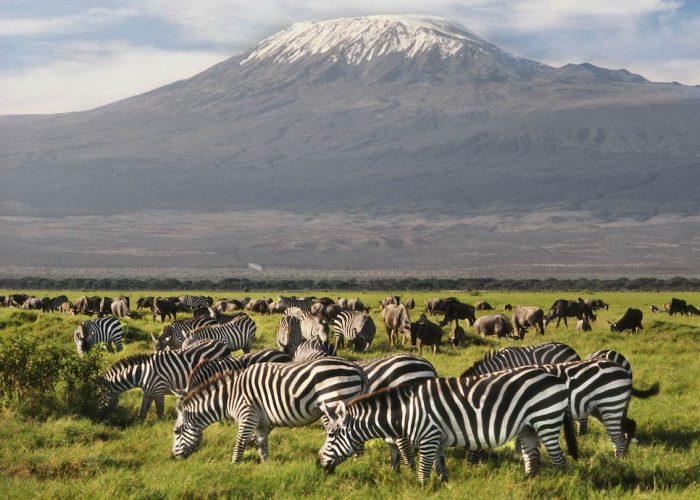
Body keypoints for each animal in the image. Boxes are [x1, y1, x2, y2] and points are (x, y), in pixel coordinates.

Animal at [100, 338, 230, 420]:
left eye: (100, 395)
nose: (102, 417)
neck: (141, 373)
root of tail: (222, 343)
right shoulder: (148, 392)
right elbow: (142, 412)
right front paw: (139, 426)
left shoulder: (159, 390)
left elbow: (160, 412)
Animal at [172, 360, 370, 460]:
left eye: (176, 431)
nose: (172, 456)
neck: (229, 397)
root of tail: (357, 368)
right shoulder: (260, 422)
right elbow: (262, 445)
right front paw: (265, 468)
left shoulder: (247, 415)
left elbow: (240, 444)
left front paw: (234, 468)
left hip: (336, 401)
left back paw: (355, 464)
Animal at [320, 366, 576, 482]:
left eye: (331, 436)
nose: (318, 463)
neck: (407, 411)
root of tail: (554, 377)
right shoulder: (438, 440)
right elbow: (439, 467)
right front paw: (443, 486)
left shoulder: (428, 436)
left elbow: (424, 470)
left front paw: (421, 489)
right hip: (528, 427)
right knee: (532, 458)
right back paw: (526, 482)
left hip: (546, 420)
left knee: (559, 459)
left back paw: (562, 481)